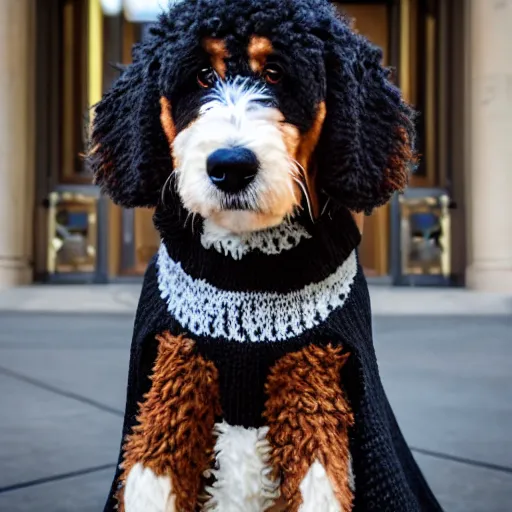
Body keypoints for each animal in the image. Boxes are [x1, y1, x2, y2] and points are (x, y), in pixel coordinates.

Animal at [90, 1, 442, 512]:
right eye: (201, 76)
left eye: (275, 73)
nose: (231, 166)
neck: (248, 270)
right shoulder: (176, 368)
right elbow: (149, 475)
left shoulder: (313, 376)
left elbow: (320, 488)